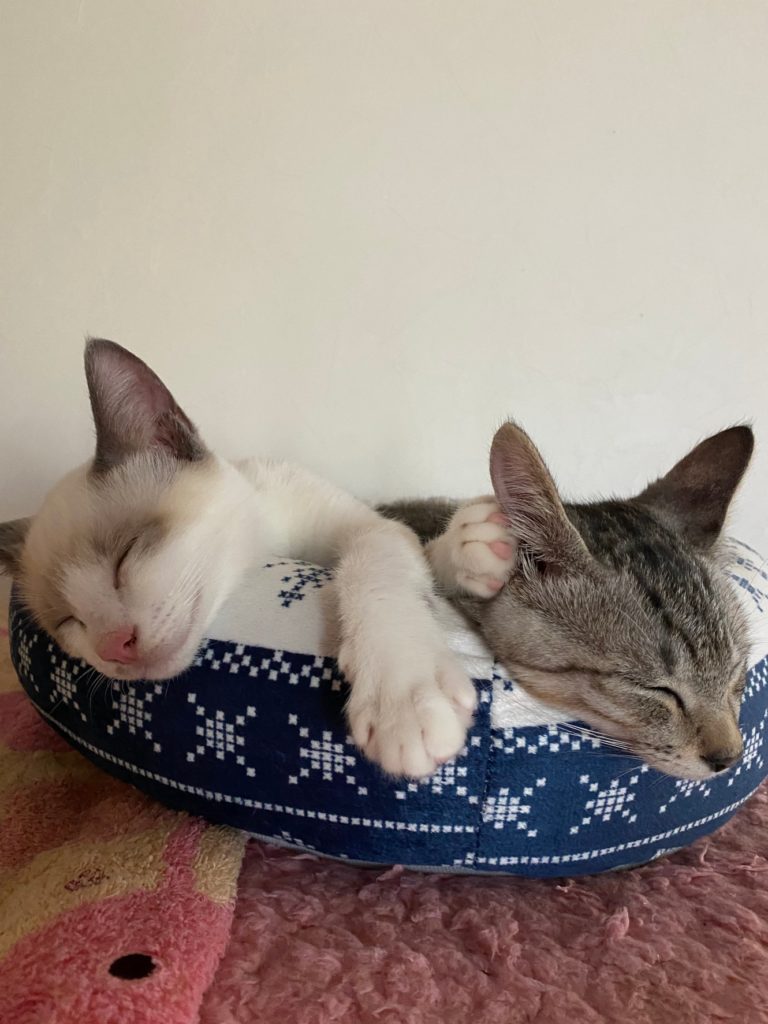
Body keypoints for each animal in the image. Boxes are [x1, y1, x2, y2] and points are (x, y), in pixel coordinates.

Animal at [0, 338, 477, 779]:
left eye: (127, 554)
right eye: (69, 621)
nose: (114, 645)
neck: (268, 545)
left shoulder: (370, 527)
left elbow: (373, 568)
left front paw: (404, 703)